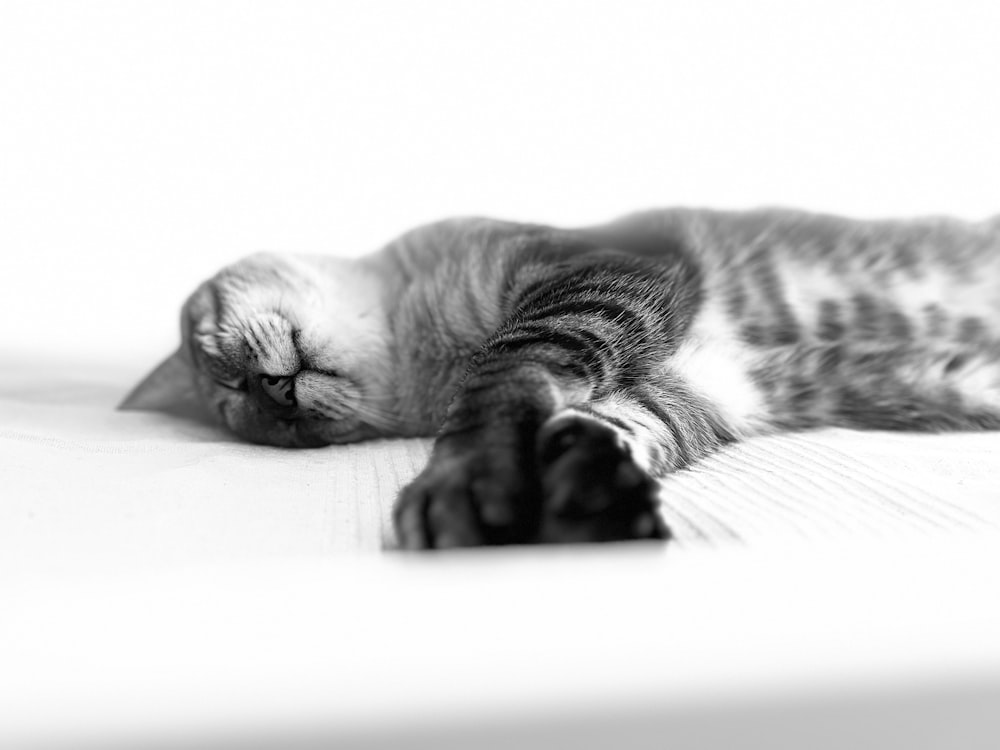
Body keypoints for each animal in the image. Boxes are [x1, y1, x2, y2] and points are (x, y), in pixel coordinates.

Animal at [123, 209, 1000, 548]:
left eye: (217, 361)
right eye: (251, 419)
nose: (272, 399)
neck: (427, 348)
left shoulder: (598, 271)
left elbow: (506, 381)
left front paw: (464, 484)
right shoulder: (703, 387)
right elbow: (619, 425)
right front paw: (589, 491)